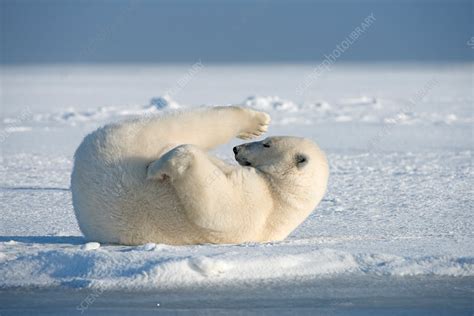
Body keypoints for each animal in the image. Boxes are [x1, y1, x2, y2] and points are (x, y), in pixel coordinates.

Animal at [71, 107, 330, 246]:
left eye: (267, 145)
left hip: (132, 140)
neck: (282, 194)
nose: (237, 150)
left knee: (187, 124)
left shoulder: (257, 207)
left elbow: (213, 206)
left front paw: (157, 169)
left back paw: (253, 121)